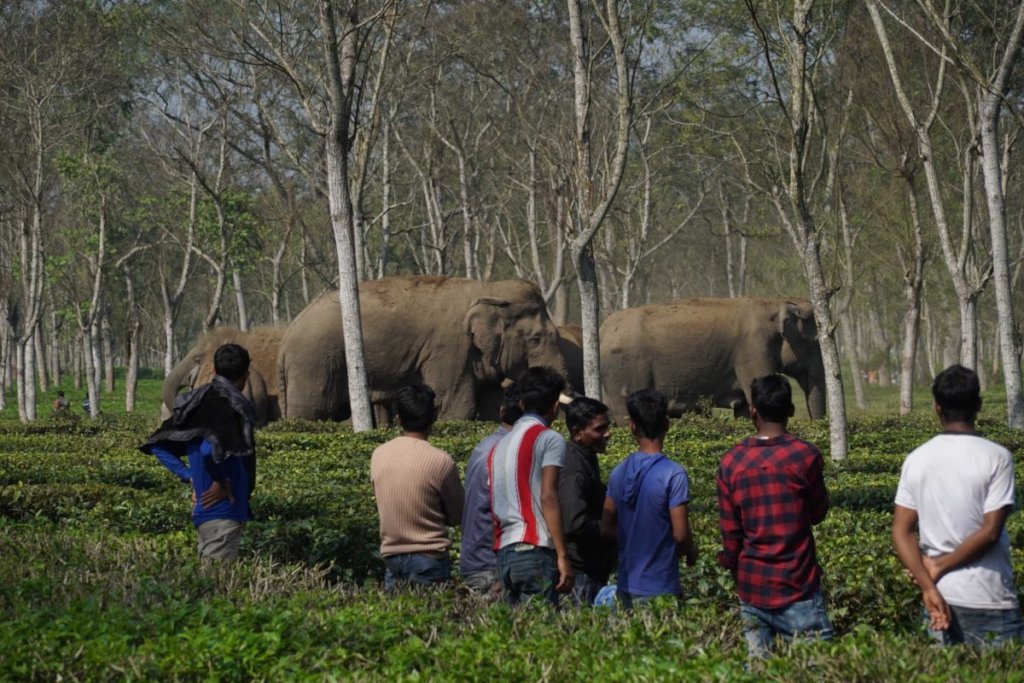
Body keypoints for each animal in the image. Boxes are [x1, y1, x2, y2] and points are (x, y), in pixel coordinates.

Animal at [277, 276, 571, 422]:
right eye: (535, 339)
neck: (488, 289)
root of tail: (288, 332)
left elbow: (490, 403)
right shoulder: (449, 348)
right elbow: (456, 404)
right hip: (314, 361)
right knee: (313, 411)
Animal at [600, 297, 826, 423]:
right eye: (817, 343)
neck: (774, 302)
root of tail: (602, 328)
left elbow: (744, 409)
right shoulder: (754, 350)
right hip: (626, 371)